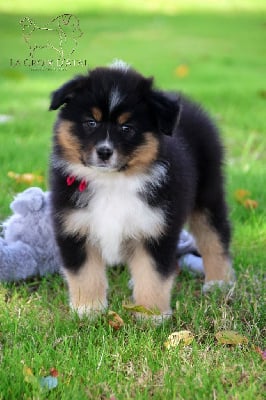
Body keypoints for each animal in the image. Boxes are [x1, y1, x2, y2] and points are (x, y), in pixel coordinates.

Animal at [49, 60, 235, 322]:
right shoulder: (74, 225)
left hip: (208, 192)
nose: (104, 152)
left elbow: (153, 273)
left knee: (214, 235)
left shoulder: (155, 227)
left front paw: (151, 314)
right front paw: (88, 309)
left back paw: (219, 282)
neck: (112, 182)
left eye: (127, 127)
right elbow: (85, 273)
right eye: (90, 122)